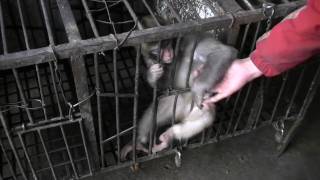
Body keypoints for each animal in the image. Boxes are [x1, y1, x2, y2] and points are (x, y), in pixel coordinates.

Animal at [120, 16, 238, 160]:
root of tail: (183, 112)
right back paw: (140, 142)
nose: (167, 54)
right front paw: (152, 76)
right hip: (175, 104)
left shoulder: (191, 39)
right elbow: (164, 85)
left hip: (194, 108)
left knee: (205, 114)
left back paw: (169, 136)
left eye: (166, 43)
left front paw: (198, 89)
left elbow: (223, 52)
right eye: (156, 52)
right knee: (156, 109)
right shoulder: (151, 61)